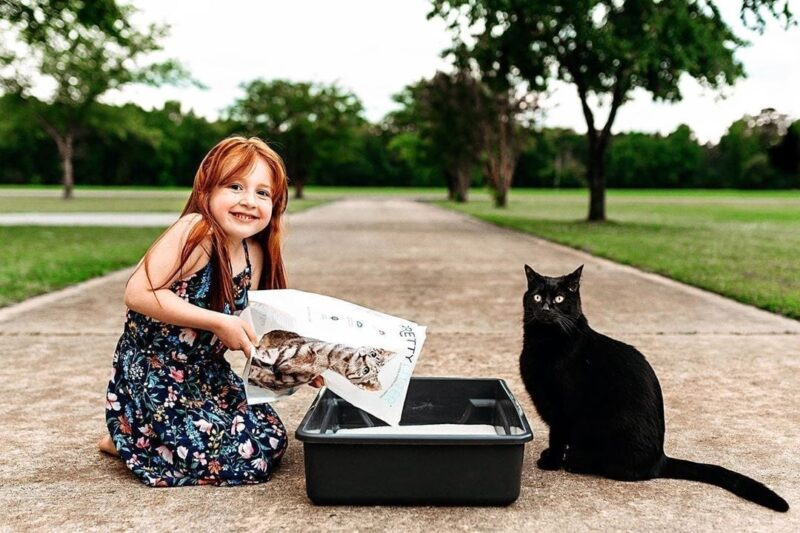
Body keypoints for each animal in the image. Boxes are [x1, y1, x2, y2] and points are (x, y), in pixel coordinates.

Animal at [520, 264, 788, 512]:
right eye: (537, 297)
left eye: (559, 299)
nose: (546, 308)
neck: (543, 341)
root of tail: (661, 459)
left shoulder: (562, 410)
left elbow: (557, 436)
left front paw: (551, 461)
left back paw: (576, 462)